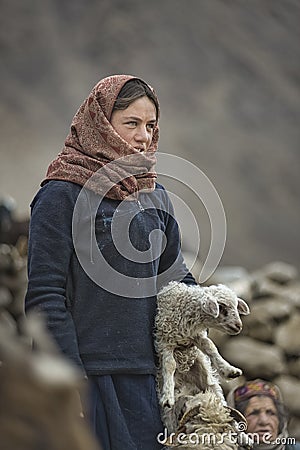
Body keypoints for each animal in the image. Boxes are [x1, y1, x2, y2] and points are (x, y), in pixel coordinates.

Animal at [156, 282, 250, 418]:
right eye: (221, 307)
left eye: (236, 307)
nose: (239, 326)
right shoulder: (165, 340)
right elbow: (170, 364)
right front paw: (168, 396)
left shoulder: (197, 336)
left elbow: (211, 347)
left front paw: (228, 369)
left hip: (206, 379)